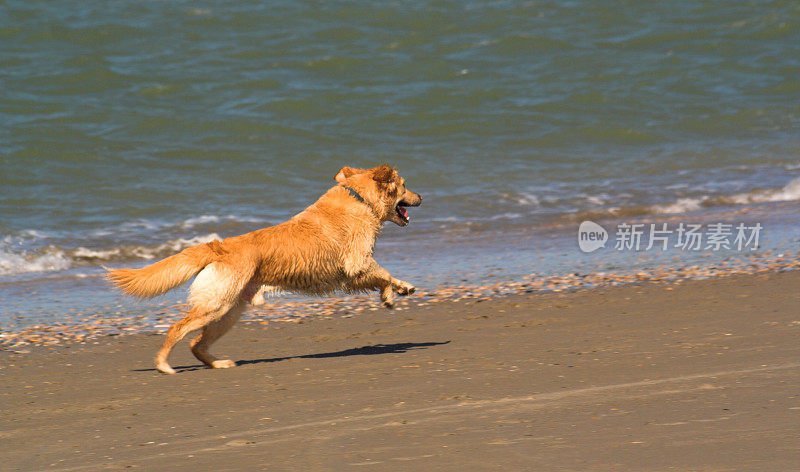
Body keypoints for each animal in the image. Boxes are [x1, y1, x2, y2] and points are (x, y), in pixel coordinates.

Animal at [108, 164, 422, 374]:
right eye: (405, 185)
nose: (421, 197)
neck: (359, 198)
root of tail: (218, 246)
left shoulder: (352, 274)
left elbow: (383, 277)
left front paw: (395, 292)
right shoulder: (357, 263)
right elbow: (383, 274)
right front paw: (395, 292)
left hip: (229, 312)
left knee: (197, 343)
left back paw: (218, 363)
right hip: (217, 306)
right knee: (178, 329)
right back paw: (163, 365)